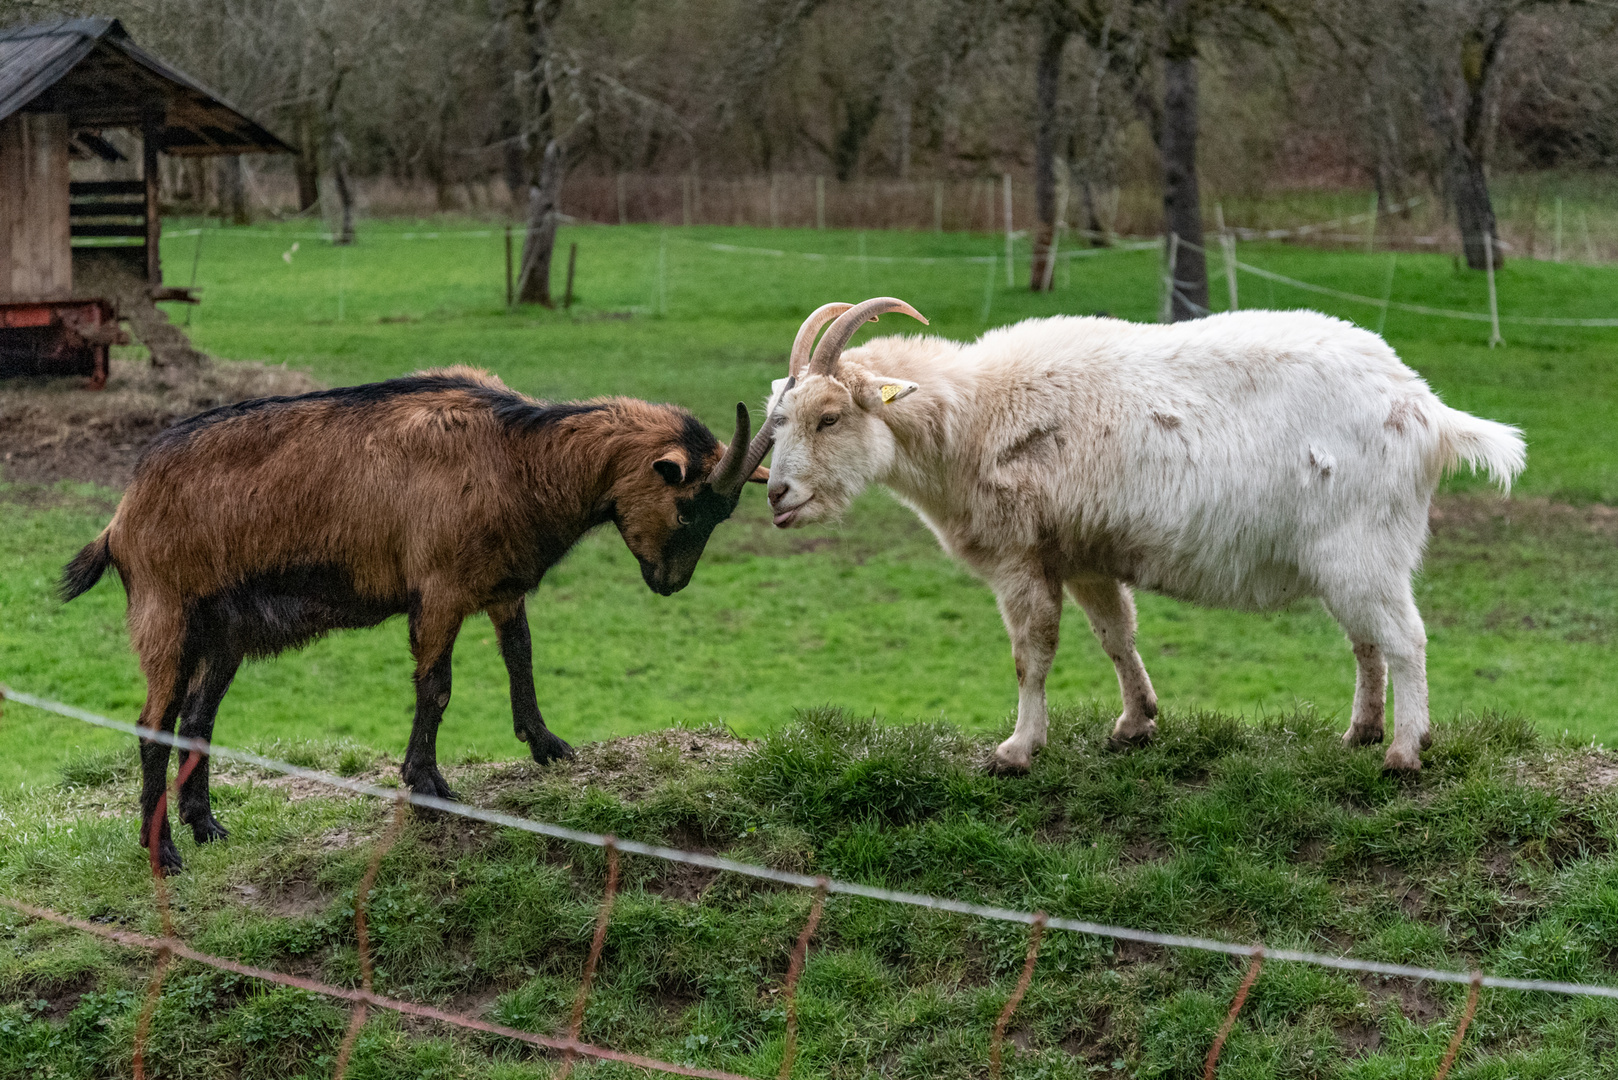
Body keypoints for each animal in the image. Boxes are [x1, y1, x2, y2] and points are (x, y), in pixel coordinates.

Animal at [59, 367, 773, 874]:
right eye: (688, 505)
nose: (670, 584)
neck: (519, 450)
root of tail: (120, 521)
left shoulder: (500, 586)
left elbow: (521, 654)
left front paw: (546, 744)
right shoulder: (440, 589)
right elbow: (437, 686)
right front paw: (428, 784)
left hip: (226, 631)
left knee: (196, 721)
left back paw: (207, 828)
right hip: (168, 615)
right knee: (153, 726)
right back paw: (165, 854)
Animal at [763, 296, 1520, 773]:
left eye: (830, 417)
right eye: (778, 415)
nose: (776, 495)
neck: (975, 416)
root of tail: (1426, 409)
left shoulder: (1021, 558)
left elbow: (1031, 655)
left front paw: (1017, 750)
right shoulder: (1083, 556)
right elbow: (1115, 634)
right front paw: (1136, 722)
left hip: (1364, 548)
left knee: (1405, 639)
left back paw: (1403, 753)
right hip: (1349, 559)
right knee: (1367, 639)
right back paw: (1361, 731)